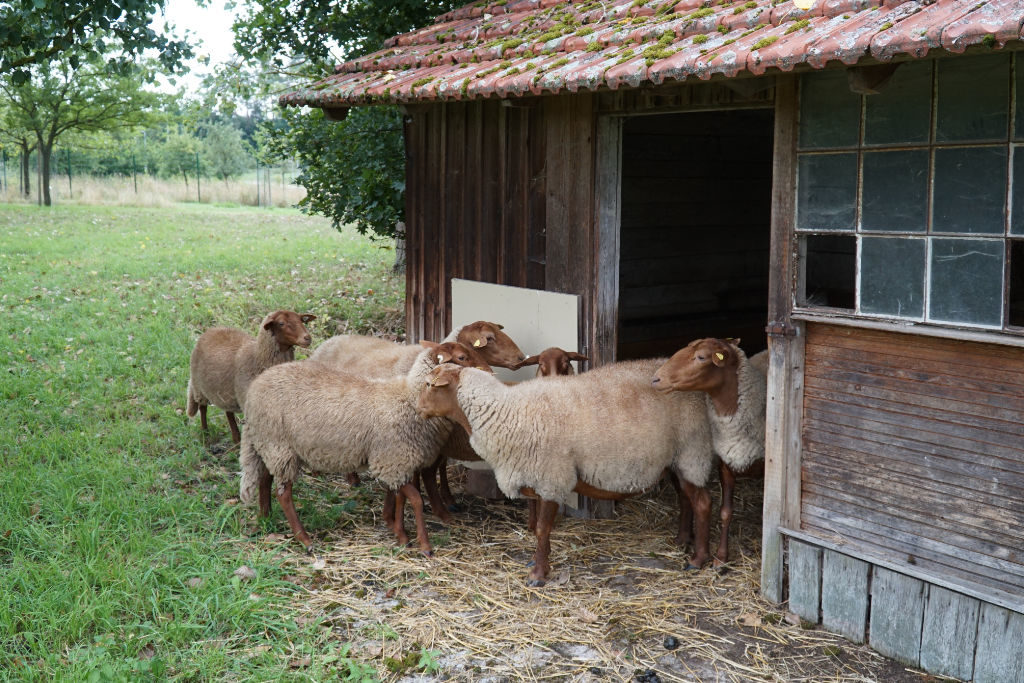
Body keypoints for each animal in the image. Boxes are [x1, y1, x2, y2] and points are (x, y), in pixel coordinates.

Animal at [187, 309, 315, 444]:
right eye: (281, 323)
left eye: (301, 320)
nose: (307, 338)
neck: (257, 357)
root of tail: (211, 330)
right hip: (199, 387)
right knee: (202, 407)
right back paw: (205, 433)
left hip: (225, 392)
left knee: (228, 413)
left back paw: (236, 439)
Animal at [235, 339, 487, 552]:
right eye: (462, 357)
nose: (486, 373)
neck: (409, 397)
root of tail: (254, 390)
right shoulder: (392, 458)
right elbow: (414, 498)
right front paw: (421, 544)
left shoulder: (394, 460)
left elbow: (398, 495)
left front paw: (398, 531)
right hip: (278, 445)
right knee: (283, 493)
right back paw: (304, 539)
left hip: (270, 445)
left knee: (265, 479)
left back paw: (266, 517)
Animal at [411, 360, 716, 585]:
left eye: (429, 384)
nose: (415, 409)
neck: (505, 410)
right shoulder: (536, 476)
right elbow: (538, 528)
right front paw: (540, 563)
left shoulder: (552, 477)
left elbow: (542, 529)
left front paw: (537, 575)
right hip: (676, 459)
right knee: (686, 498)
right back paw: (681, 540)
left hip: (692, 450)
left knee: (702, 503)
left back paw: (698, 560)